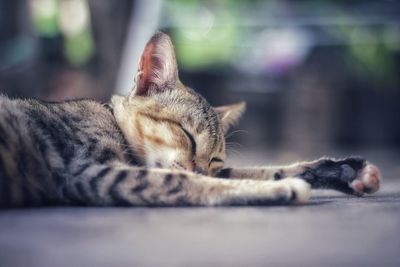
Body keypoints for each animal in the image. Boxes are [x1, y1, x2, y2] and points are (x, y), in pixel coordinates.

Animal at [0, 32, 382, 208]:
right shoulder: (86, 173)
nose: (201, 165)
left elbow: (252, 170)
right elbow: (193, 183)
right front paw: (280, 189)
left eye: (214, 158)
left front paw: (342, 171)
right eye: (187, 135)